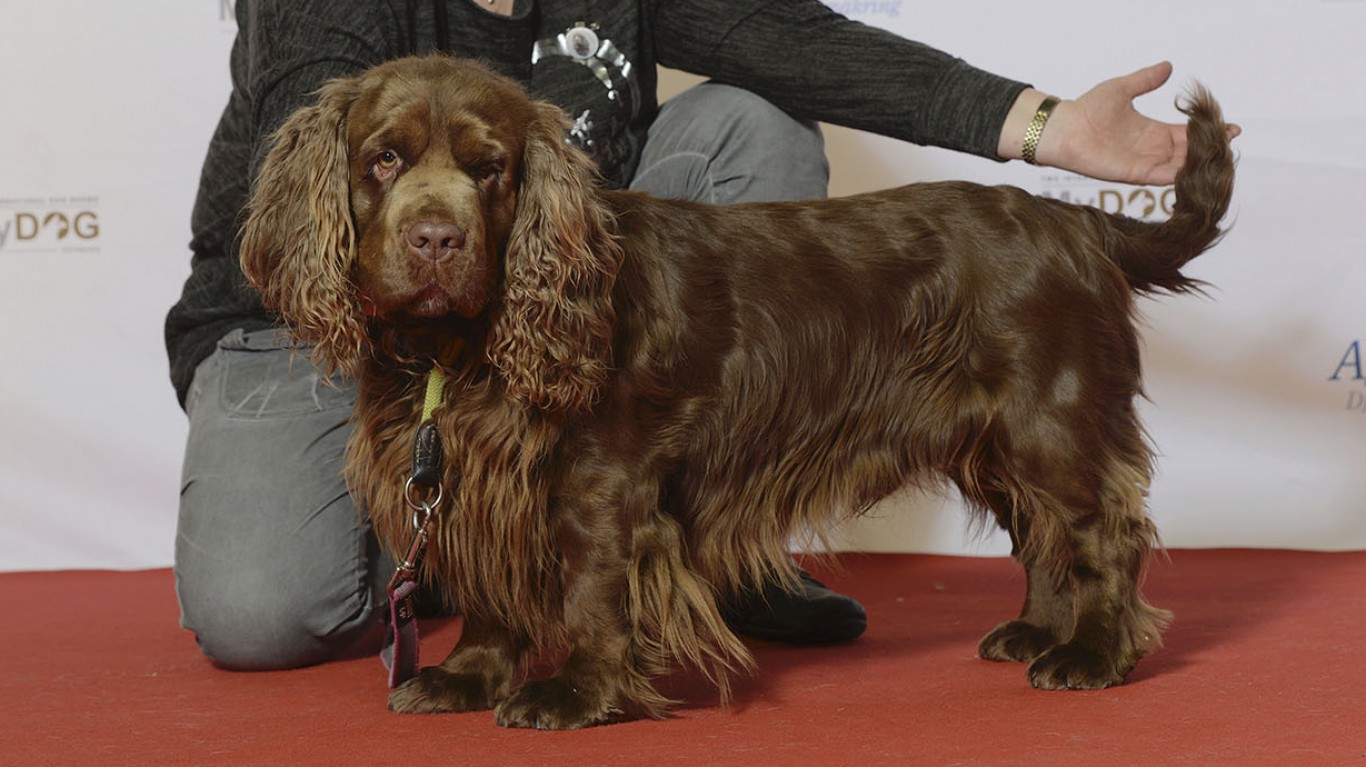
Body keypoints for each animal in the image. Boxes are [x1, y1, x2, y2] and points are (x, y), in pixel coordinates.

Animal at [237, 55, 1240, 727]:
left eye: (491, 170)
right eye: (382, 160)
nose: (437, 241)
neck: (464, 344)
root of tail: (1078, 222)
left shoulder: (602, 480)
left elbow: (590, 588)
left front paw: (575, 690)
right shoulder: (475, 474)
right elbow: (490, 581)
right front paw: (469, 674)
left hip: (1050, 419)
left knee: (1100, 532)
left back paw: (1093, 653)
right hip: (994, 435)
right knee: (1041, 536)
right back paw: (1037, 632)